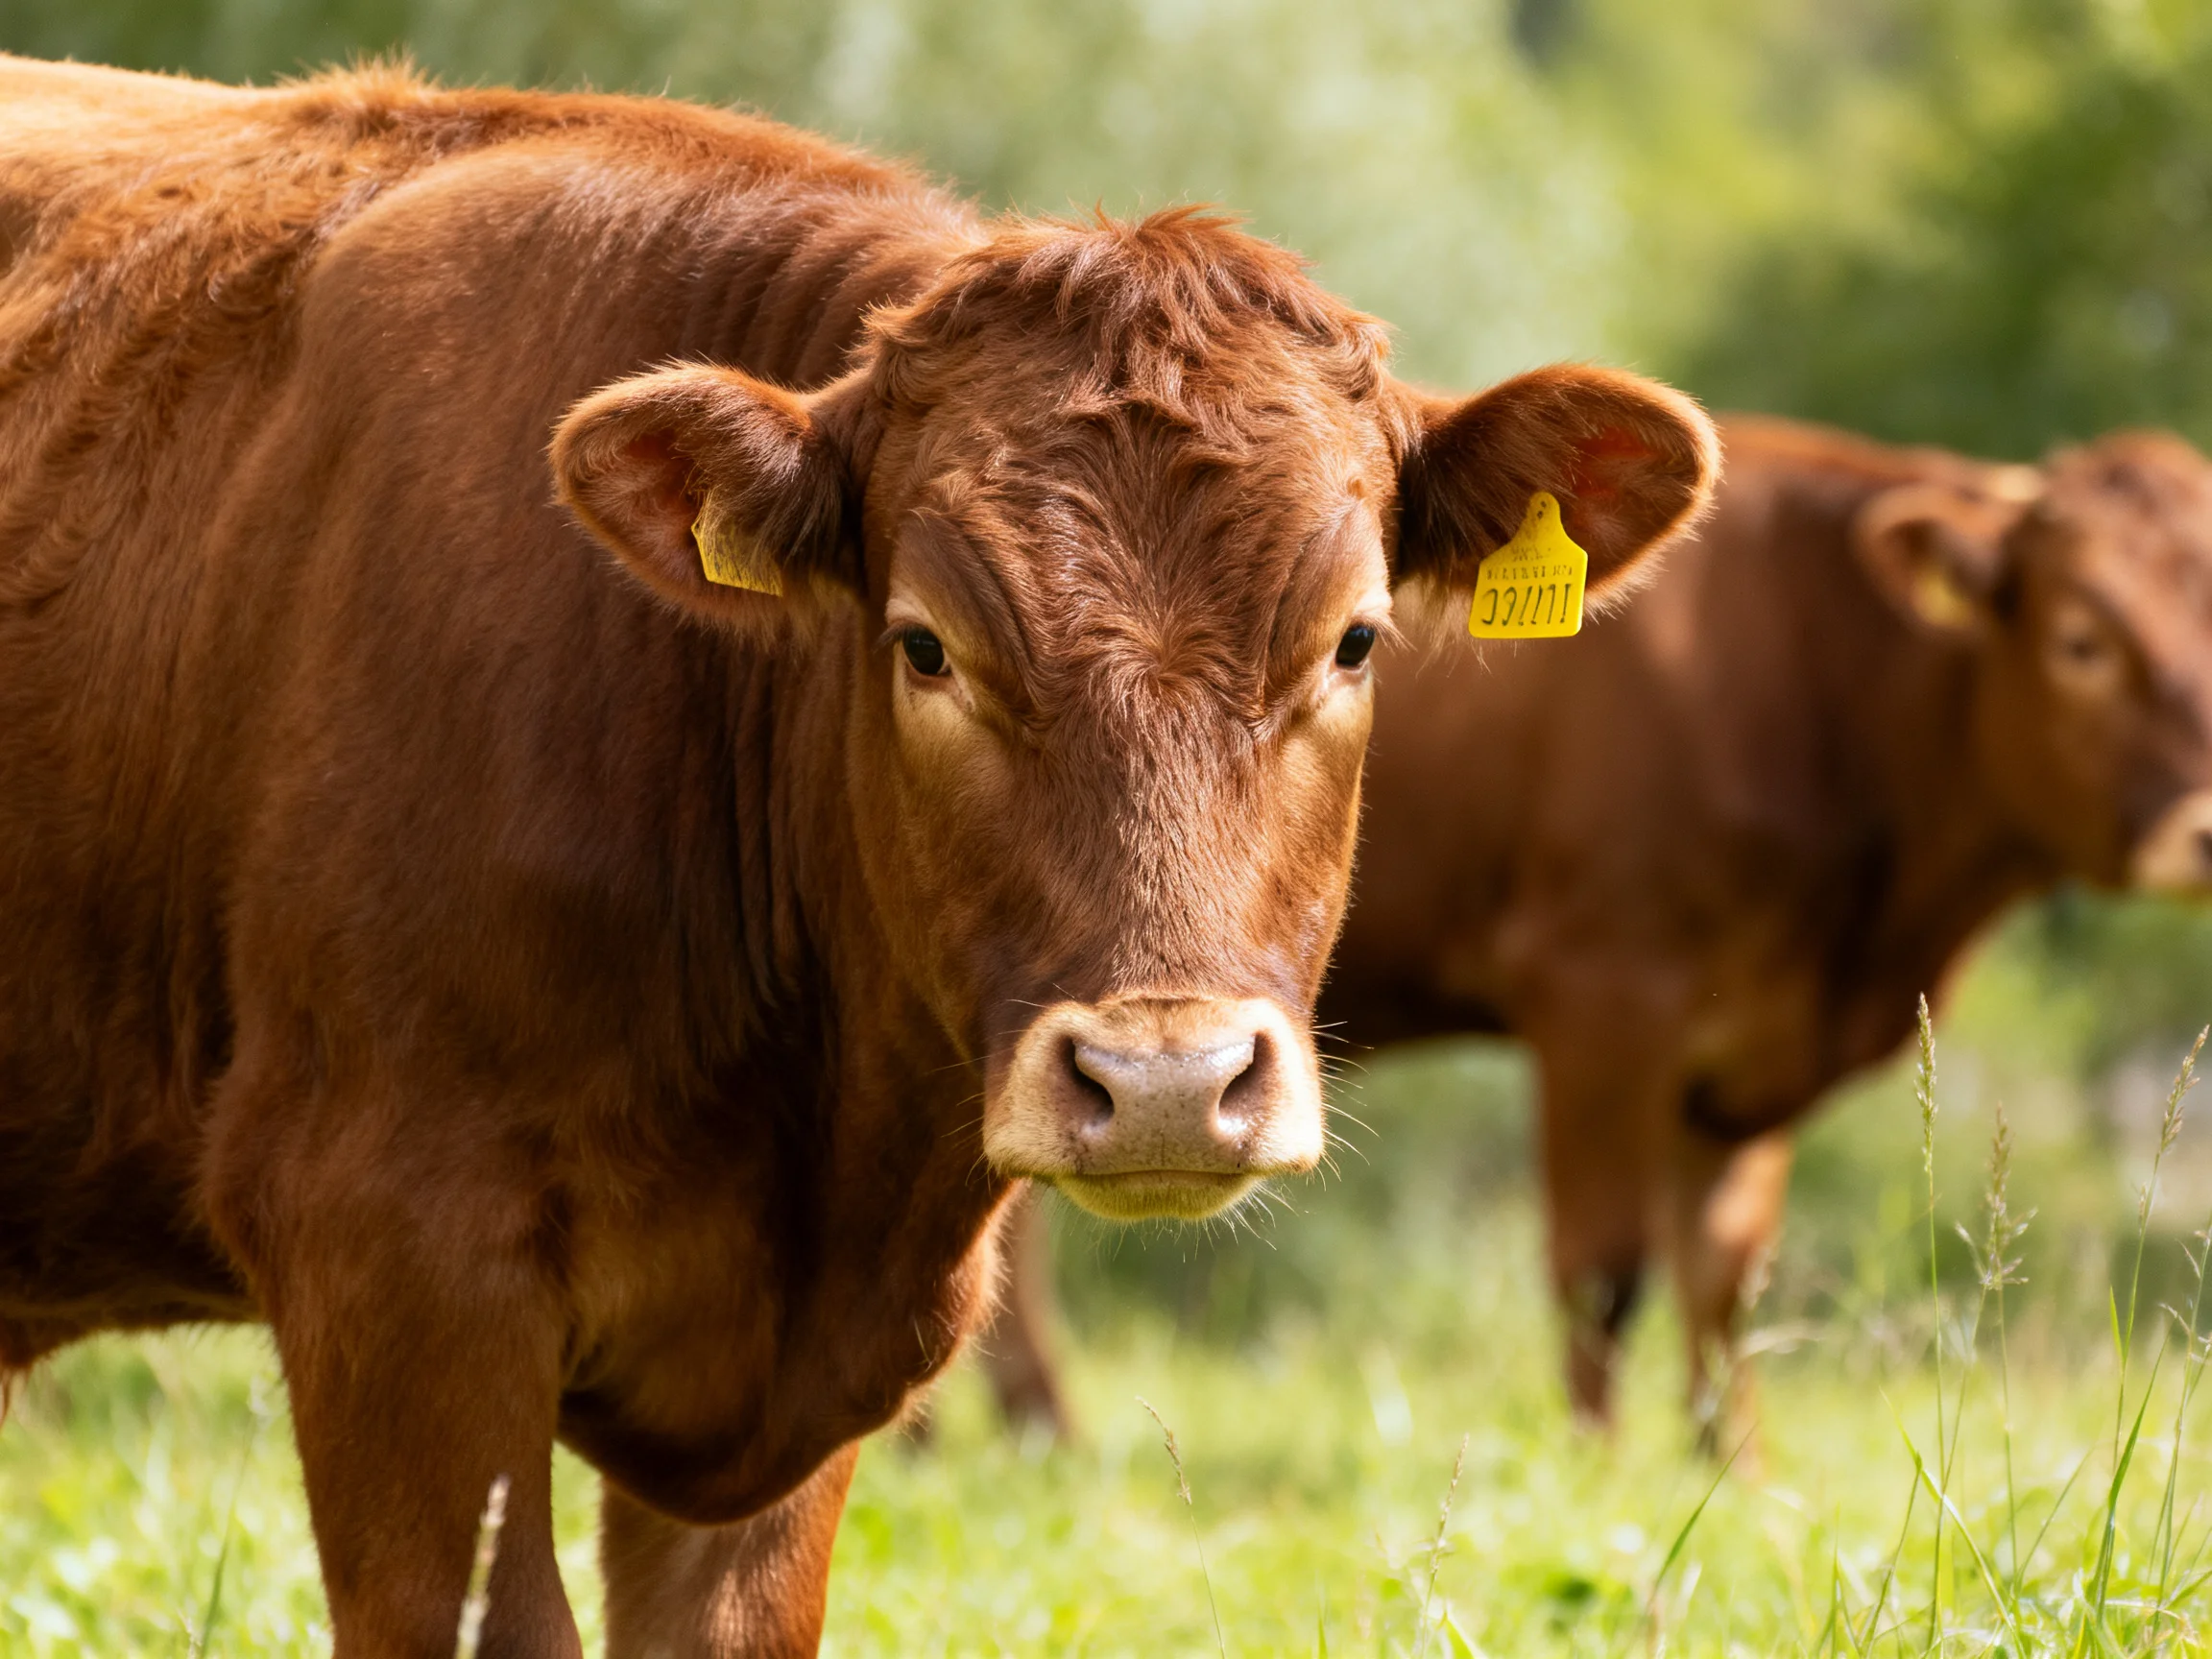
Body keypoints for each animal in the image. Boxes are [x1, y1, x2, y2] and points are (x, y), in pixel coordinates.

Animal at [979, 415, 2212, 1448]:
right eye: (2083, 639)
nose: (2205, 828)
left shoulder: (1746, 1044)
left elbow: (1726, 1270)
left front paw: (1732, 1468)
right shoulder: (1602, 992)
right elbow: (1604, 1269)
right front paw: (1597, 1463)